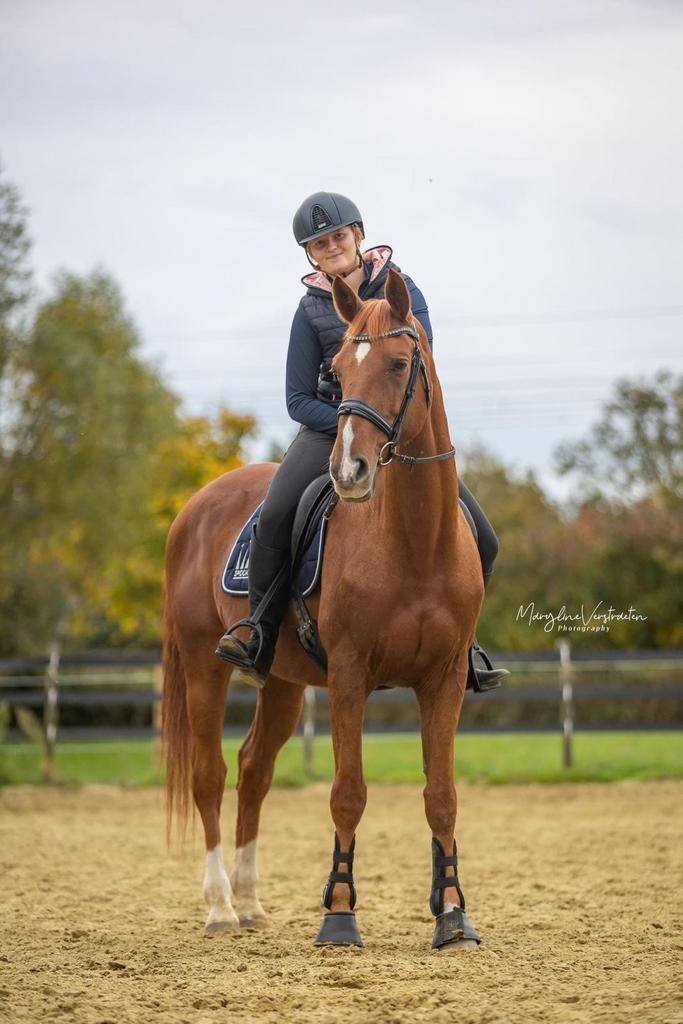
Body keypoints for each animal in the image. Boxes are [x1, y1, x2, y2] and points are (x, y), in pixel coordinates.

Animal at [162, 268, 484, 950]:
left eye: (398, 363)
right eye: (335, 368)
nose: (350, 469)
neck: (413, 542)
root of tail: (195, 506)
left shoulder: (444, 679)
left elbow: (441, 795)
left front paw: (452, 914)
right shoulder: (350, 676)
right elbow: (347, 794)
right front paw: (339, 914)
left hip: (282, 682)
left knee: (253, 769)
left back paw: (251, 904)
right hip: (205, 668)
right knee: (208, 775)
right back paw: (220, 907)